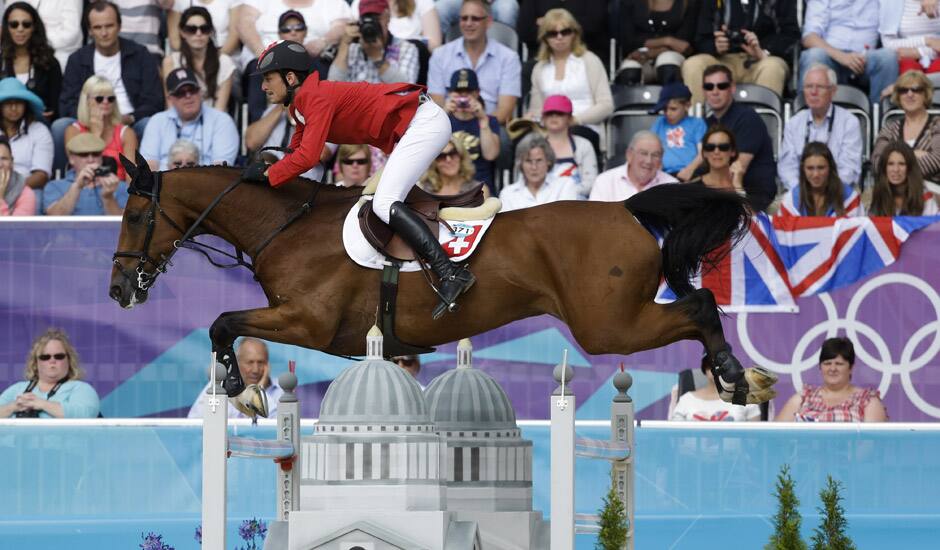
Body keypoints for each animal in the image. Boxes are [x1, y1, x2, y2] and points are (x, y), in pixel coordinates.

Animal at [106, 157, 776, 408]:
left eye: (135, 216)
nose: (117, 291)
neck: (286, 224)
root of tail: (626, 209)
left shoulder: (308, 322)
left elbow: (223, 322)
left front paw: (239, 388)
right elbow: (224, 324)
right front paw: (240, 388)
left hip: (607, 324)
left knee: (701, 305)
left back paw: (739, 377)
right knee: (697, 305)